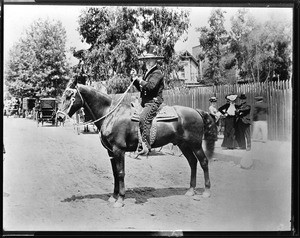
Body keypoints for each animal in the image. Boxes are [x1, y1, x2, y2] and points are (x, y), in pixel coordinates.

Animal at [56, 78, 216, 208]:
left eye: (70, 96)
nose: (59, 117)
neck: (111, 114)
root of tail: (197, 111)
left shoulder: (118, 150)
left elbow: (120, 173)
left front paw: (120, 199)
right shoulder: (111, 151)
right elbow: (115, 173)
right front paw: (113, 197)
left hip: (195, 144)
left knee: (203, 162)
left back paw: (207, 191)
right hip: (183, 145)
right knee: (192, 162)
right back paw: (191, 190)